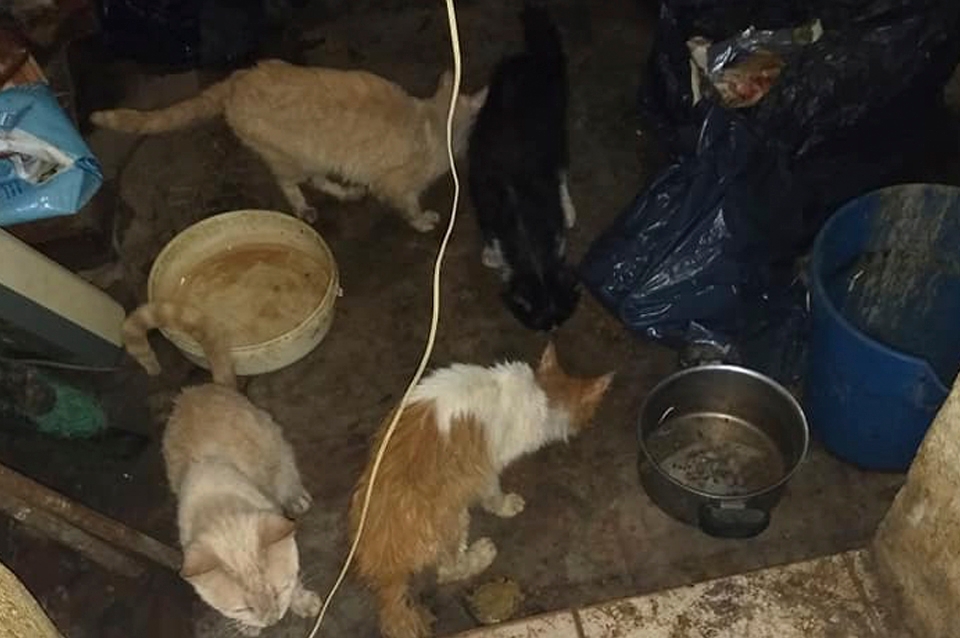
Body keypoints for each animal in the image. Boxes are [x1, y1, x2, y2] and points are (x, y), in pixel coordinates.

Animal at [90, 60, 487, 231]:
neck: (433, 120)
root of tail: (237, 79)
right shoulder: (395, 186)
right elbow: (409, 208)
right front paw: (422, 221)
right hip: (291, 158)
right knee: (291, 183)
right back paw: (307, 205)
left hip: (312, 155)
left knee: (317, 179)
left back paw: (346, 192)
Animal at [122, 301, 320, 636]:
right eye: (243, 608)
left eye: (278, 590)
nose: (272, 620)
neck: (219, 509)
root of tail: (206, 387)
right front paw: (248, 629)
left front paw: (303, 602)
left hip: (273, 441)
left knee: (286, 470)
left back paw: (296, 497)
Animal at [349, 343, 613, 638]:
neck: (542, 392)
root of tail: (385, 565)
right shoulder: (486, 468)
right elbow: (493, 494)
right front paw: (505, 506)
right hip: (454, 517)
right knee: (448, 570)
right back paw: (481, 554)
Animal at [467, 2, 579, 331]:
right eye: (540, 325)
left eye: (558, 322)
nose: (552, 332)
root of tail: (534, 60)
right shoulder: (481, 190)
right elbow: (490, 231)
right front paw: (492, 254)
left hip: (557, 130)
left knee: (562, 170)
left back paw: (569, 209)